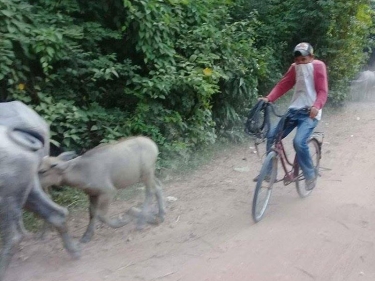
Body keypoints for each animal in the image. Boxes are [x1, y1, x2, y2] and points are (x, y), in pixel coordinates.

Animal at [39, 135, 167, 242]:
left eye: (42, 171)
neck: (82, 172)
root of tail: (154, 146)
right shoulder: (92, 194)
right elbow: (92, 213)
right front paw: (86, 236)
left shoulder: (108, 191)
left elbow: (101, 215)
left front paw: (122, 222)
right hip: (146, 175)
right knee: (158, 186)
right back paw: (161, 214)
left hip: (147, 173)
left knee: (150, 191)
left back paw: (141, 222)